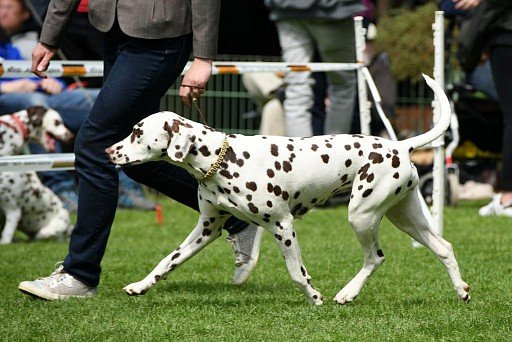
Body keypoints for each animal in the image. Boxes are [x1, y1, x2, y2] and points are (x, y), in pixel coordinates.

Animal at [109, 75, 472, 304]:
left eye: (137, 132)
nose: (109, 150)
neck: (222, 159)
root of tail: (400, 145)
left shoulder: (283, 226)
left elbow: (297, 273)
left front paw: (314, 297)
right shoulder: (206, 228)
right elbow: (167, 262)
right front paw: (140, 286)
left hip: (362, 216)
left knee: (376, 257)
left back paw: (347, 293)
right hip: (406, 218)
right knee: (444, 248)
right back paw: (461, 291)